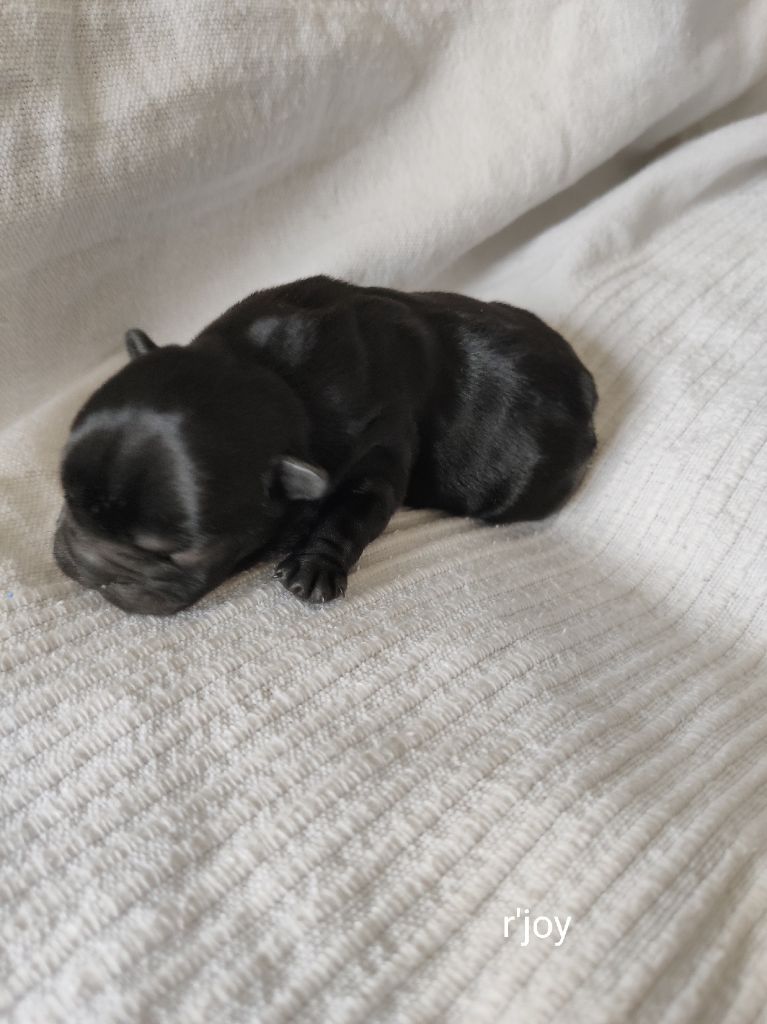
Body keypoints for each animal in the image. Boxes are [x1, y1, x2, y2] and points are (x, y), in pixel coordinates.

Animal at [53, 275, 597, 615]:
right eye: (69, 502)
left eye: (179, 555)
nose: (91, 566)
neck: (272, 373)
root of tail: (589, 386)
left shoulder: (380, 451)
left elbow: (351, 512)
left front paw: (314, 566)